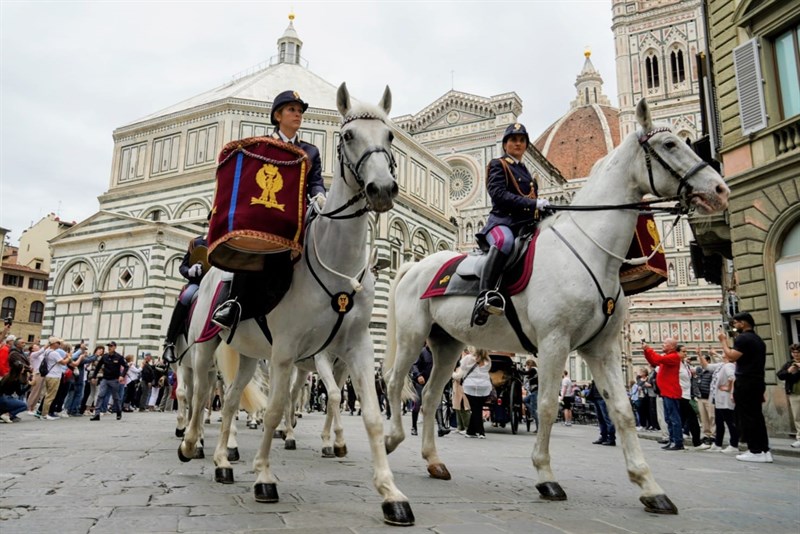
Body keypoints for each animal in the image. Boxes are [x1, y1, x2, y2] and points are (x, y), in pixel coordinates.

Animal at [176, 84, 412, 528]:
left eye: (389, 136)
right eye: (348, 136)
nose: (383, 189)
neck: (337, 266)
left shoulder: (355, 348)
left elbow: (371, 416)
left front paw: (391, 493)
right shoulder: (288, 351)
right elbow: (274, 410)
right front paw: (264, 477)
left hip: (249, 353)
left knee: (229, 400)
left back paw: (222, 462)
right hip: (205, 346)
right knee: (199, 395)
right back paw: (190, 443)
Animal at [384, 98, 728, 516]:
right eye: (670, 145)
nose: (719, 188)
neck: (590, 249)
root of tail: (415, 266)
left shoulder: (601, 347)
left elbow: (623, 411)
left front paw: (649, 486)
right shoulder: (554, 341)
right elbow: (546, 405)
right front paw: (546, 477)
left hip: (447, 343)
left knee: (433, 397)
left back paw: (434, 461)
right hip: (412, 335)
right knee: (396, 383)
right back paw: (389, 440)